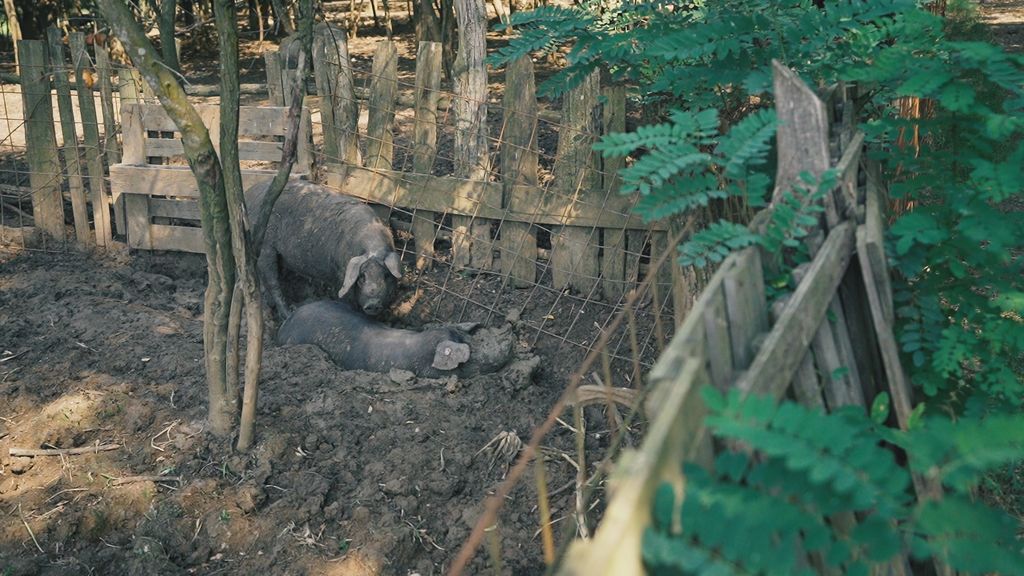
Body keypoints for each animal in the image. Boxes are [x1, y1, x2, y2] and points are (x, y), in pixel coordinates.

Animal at [245, 178, 401, 315]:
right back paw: (288, 313)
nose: (373, 304)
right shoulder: (341, 273)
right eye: (362, 276)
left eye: (386, 275)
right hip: (265, 248)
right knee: (273, 282)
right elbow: (346, 298)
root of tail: (248, 193)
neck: (373, 247)